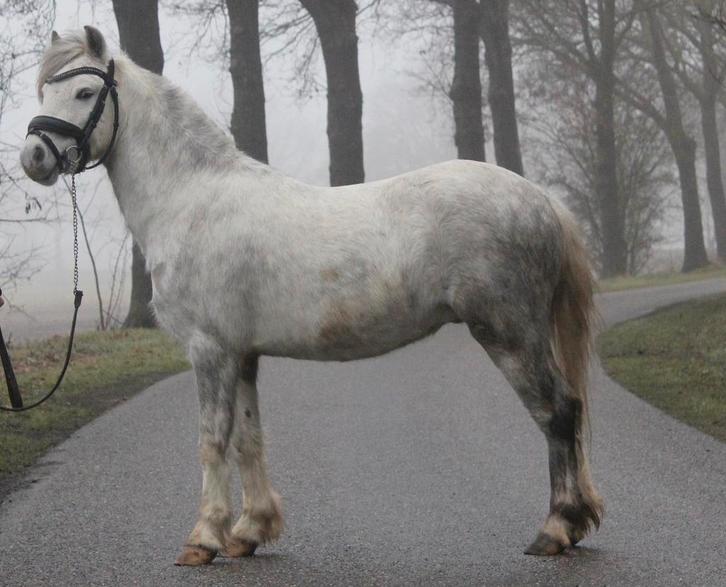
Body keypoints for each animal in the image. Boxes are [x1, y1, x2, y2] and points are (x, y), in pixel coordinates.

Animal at [20, 27, 603, 566]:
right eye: (45, 88)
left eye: (82, 93)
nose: (34, 157)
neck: (192, 200)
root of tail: (540, 199)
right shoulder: (242, 354)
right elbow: (247, 437)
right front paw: (249, 531)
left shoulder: (209, 350)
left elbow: (212, 440)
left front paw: (204, 539)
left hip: (509, 334)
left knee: (558, 412)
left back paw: (556, 528)